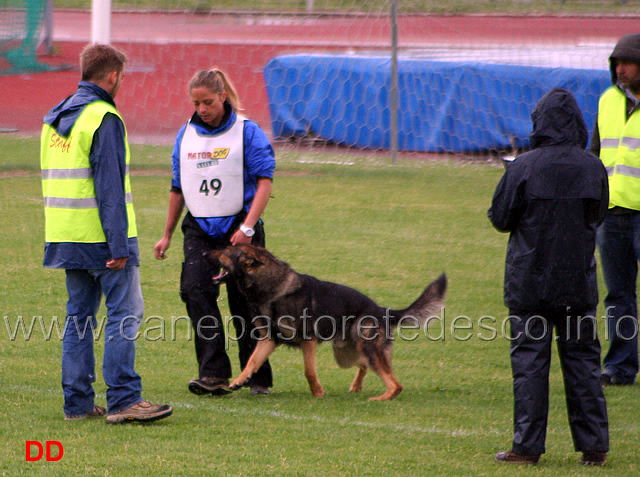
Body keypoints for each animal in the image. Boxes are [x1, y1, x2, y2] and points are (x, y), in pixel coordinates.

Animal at [208, 244, 448, 400]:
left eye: (226, 253)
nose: (204, 252)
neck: (272, 286)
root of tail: (382, 310)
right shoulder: (268, 340)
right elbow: (252, 362)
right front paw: (238, 381)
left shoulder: (308, 340)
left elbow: (309, 370)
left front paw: (318, 393)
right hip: (345, 354)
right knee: (364, 365)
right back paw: (357, 387)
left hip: (366, 348)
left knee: (395, 384)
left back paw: (381, 397)